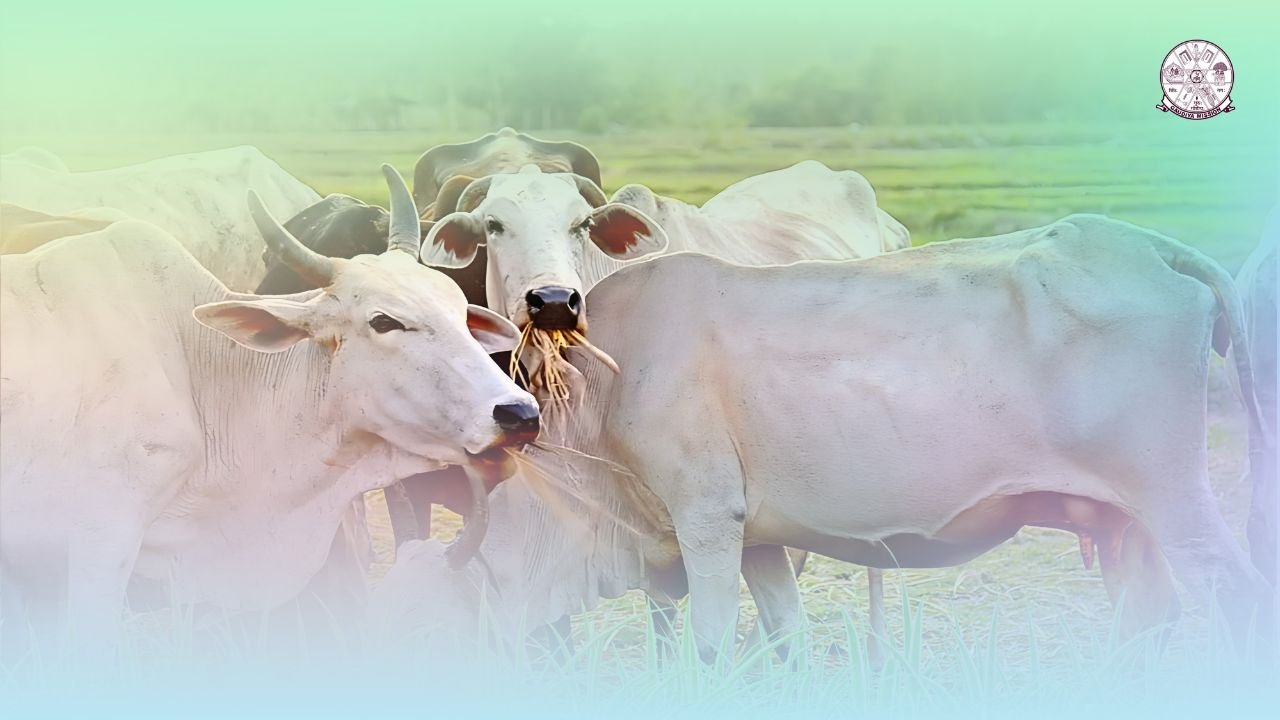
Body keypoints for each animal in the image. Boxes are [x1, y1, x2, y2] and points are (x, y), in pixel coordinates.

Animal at [378, 214, 1270, 663]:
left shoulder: (707, 521)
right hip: (1127, 526)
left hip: (1175, 501)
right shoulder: (762, 541)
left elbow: (711, 647)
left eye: (420, 632)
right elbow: (787, 641)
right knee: (1153, 617)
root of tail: (1142, 241)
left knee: (1237, 598)